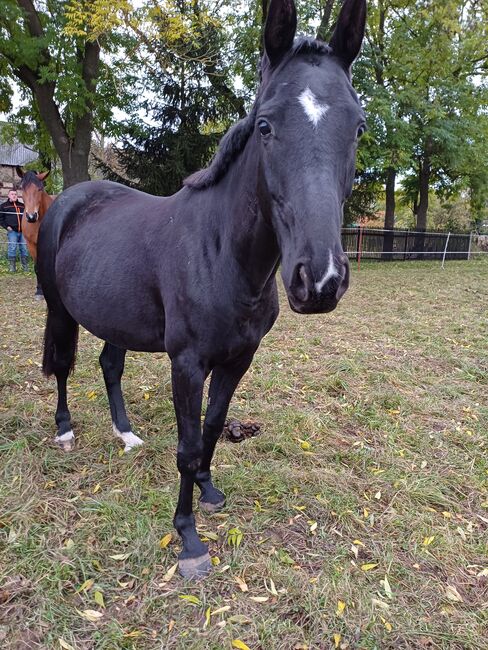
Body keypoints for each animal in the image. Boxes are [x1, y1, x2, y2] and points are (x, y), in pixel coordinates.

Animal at [16, 167, 54, 298]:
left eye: (40, 189)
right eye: (22, 188)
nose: (31, 216)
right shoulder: (31, 244)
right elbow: (37, 267)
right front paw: (39, 290)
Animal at [38, 0, 366, 576]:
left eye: (358, 127)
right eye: (265, 125)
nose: (320, 280)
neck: (221, 254)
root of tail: (71, 197)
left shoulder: (239, 358)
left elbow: (213, 426)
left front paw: (210, 492)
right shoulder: (187, 363)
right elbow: (188, 444)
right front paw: (188, 538)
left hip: (115, 316)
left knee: (109, 366)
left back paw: (126, 434)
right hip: (60, 310)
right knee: (62, 364)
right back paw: (65, 430)